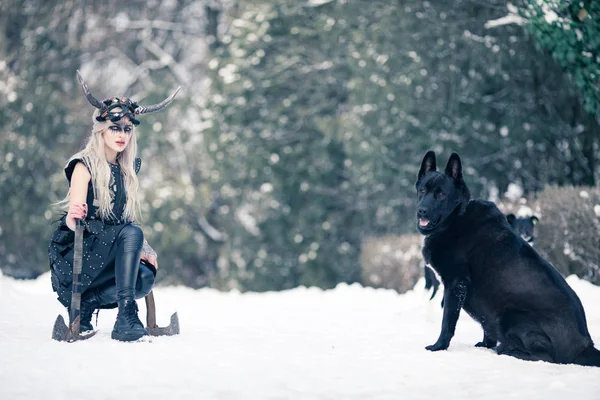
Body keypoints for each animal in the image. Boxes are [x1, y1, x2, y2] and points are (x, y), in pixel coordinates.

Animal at [414, 150, 596, 366]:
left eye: (441, 194)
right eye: (422, 190)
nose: (421, 211)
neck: (456, 218)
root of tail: (586, 346)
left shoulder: (455, 285)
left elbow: (447, 323)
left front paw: (438, 347)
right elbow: (485, 327)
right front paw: (485, 345)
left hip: (512, 317)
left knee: (545, 356)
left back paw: (508, 350)